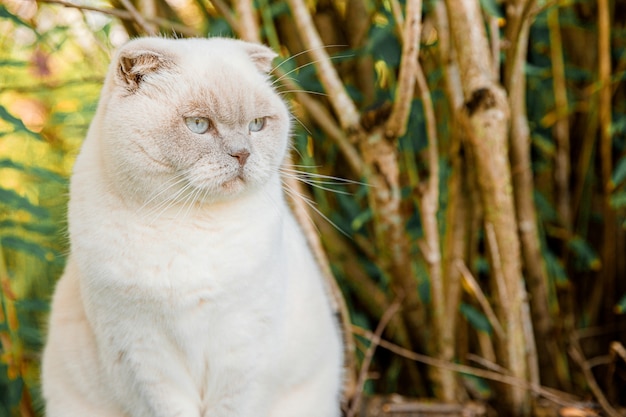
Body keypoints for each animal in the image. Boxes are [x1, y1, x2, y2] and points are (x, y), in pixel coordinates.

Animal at [41, 36, 344, 416]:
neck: (191, 221)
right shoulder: (141, 352)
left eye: (257, 124)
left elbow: (231, 406)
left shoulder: (244, 348)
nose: (242, 154)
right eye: (199, 124)